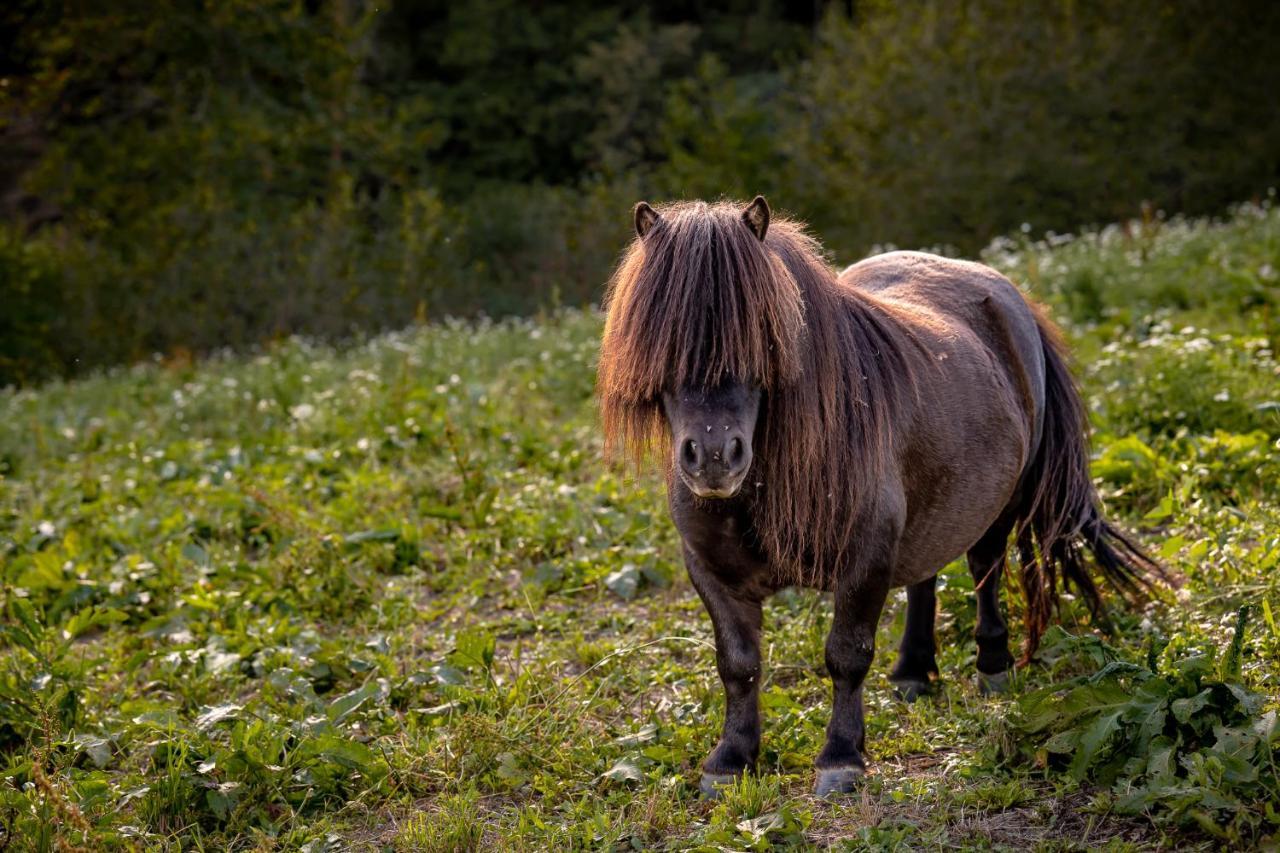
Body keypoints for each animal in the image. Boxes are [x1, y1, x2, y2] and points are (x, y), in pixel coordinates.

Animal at [596, 195, 1162, 794]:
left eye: (763, 338)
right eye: (659, 341)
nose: (712, 456)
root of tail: (1006, 294)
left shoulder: (863, 559)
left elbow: (846, 655)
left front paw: (841, 757)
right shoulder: (712, 571)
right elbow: (739, 664)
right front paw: (730, 759)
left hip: (998, 505)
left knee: (984, 568)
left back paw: (992, 666)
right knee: (924, 577)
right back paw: (913, 671)